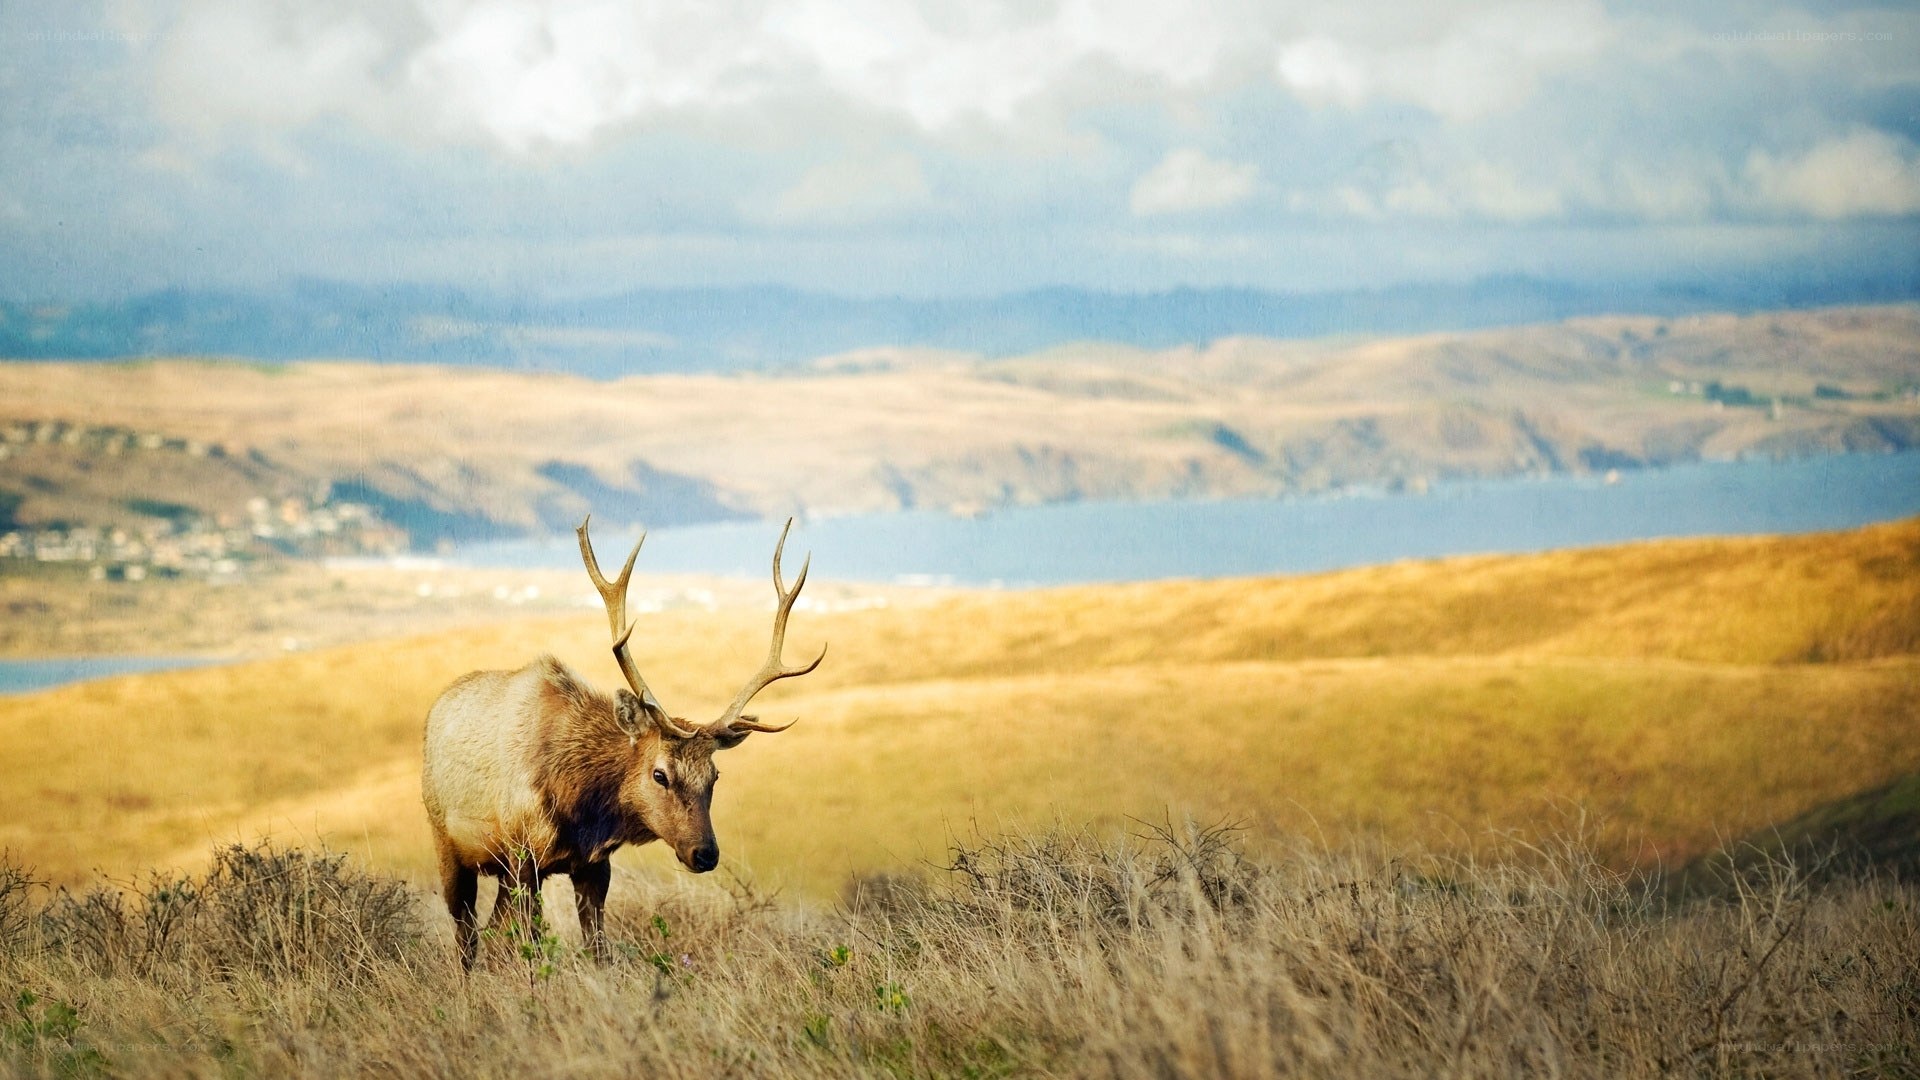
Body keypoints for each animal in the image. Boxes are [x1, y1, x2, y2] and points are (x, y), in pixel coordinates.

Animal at [422, 516, 824, 970]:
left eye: (715, 776)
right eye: (660, 774)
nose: (706, 853)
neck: (579, 805)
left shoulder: (594, 865)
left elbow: (598, 949)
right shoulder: (524, 857)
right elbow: (533, 948)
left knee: (487, 931)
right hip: (446, 841)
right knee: (466, 935)